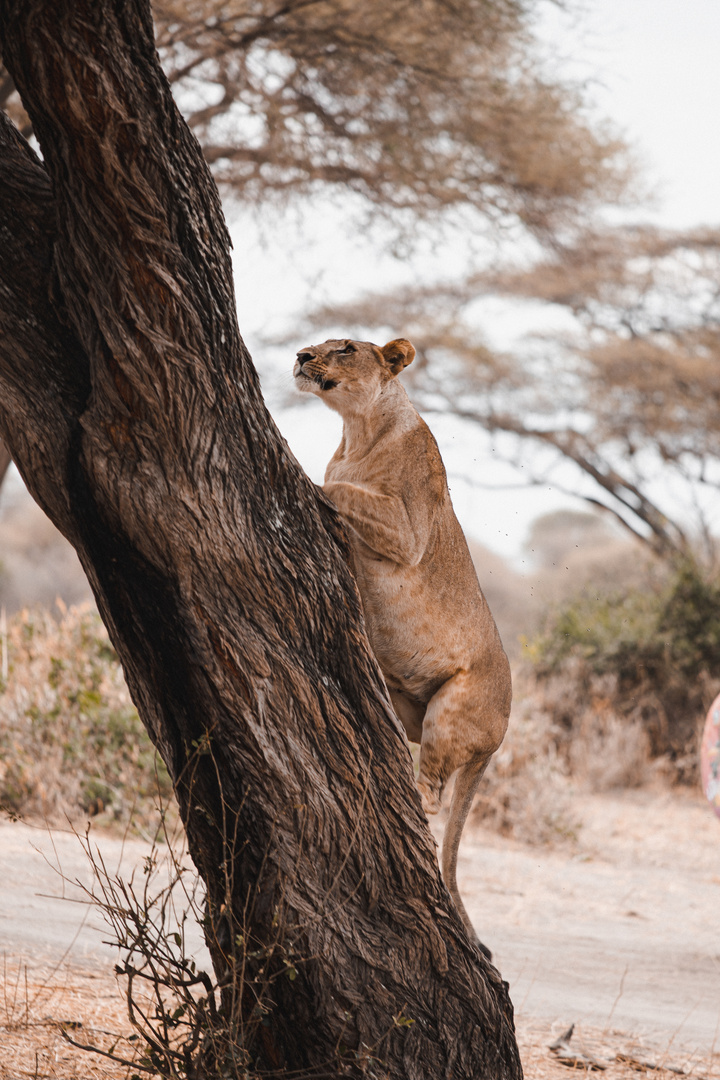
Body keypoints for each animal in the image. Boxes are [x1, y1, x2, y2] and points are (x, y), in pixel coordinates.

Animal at [293, 336, 511, 963]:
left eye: (344, 348)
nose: (301, 356)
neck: (357, 431)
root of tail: (503, 733)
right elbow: (342, 486)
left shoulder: (409, 530)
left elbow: (342, 490)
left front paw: (305, 475)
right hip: (408, 702)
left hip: (450, 711)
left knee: (434, 796)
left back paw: (412, 798)